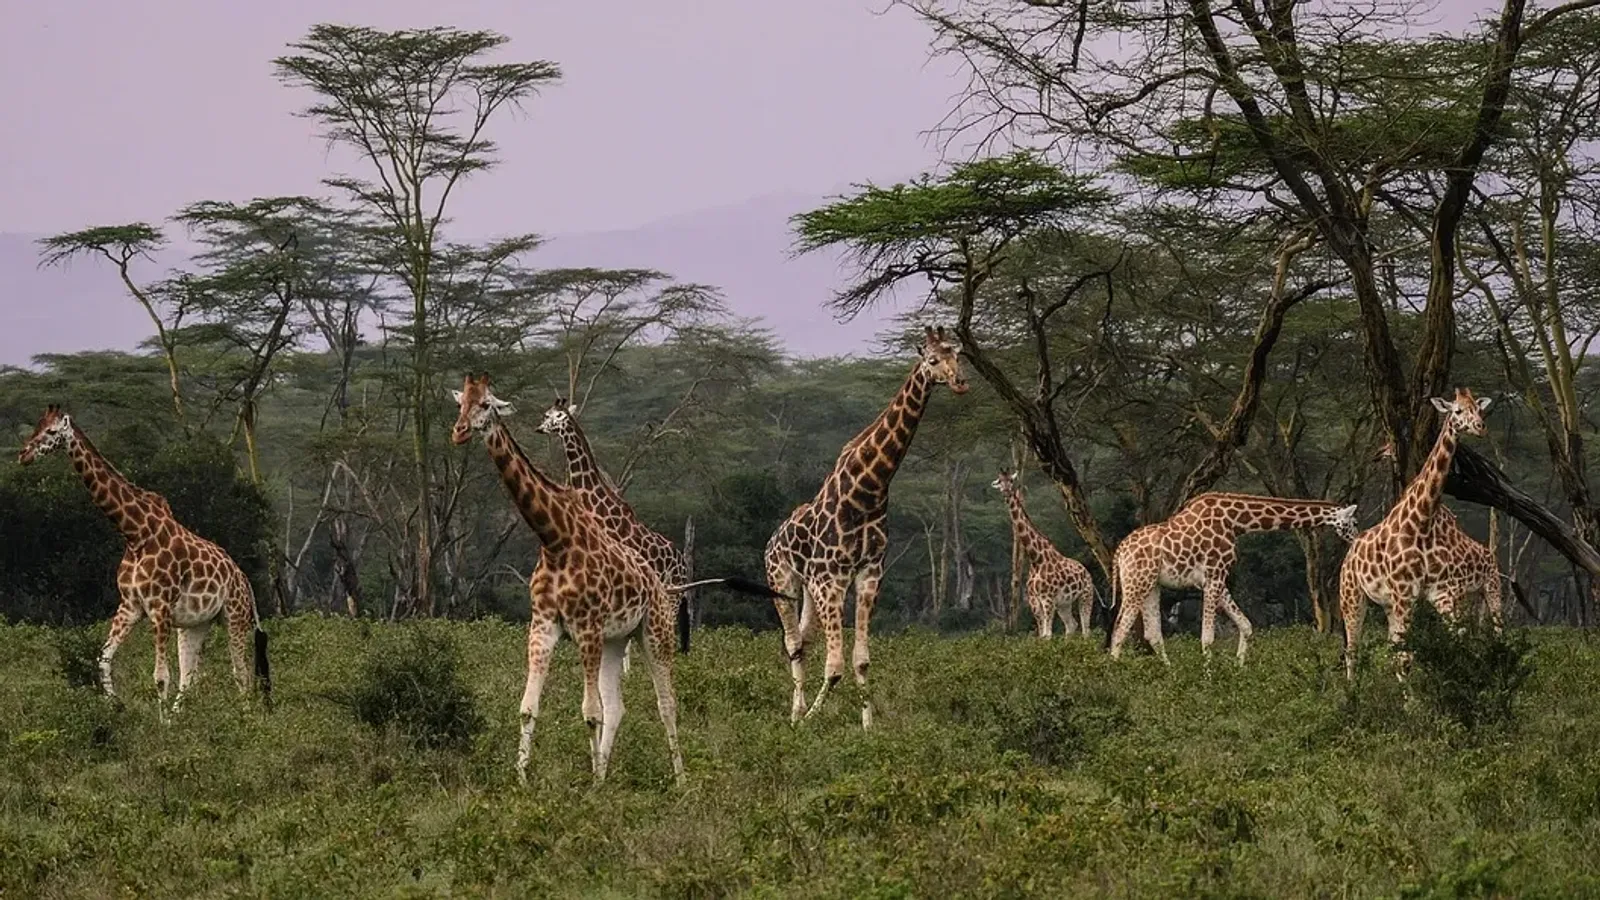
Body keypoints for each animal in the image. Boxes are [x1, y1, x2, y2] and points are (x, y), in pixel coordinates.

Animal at [17, 405, 272, 712]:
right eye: (36, 426)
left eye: (52, 431)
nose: (23, 454)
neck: (135, 534)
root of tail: (244, 580)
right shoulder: (130, 606)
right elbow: (103, 661)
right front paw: (116, 706)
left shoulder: (159, 608)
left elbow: (161, 676)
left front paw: (157, 721)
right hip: (195, 624)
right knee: (191, 677)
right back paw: (181, 718)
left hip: (234, 617)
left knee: (241, 674)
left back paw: (245, 718)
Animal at [765, 325, 968, 728]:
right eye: (932, 359)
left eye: (957, 353)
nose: (960, 382)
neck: (869, 489)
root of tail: (772, 539)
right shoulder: (831, 579)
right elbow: (835, 667)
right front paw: (810, 721)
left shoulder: (868, 574)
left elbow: (860, 661)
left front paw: (868, 728)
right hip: (783, 581)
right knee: (793, 644)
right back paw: (795, 716)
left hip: (809, 588)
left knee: (804, 642)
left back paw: (798, 710)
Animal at [991, 468, 1096, 638]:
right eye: (1000, 481)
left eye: (1011, 481)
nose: (1006, 491)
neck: (1036, 558)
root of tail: (1085, 570)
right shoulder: (1035, 601)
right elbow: (1042, 635)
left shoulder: (1047, 598)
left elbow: (1048, 635)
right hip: (1064, 603)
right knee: (1072, 625)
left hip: (1086, 595)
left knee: (1086, 628)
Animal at [1108, 492, 1360, 665]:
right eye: (1354, 522)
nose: (1357, 538)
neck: (1236, 522)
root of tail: (1119, 553)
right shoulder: (1214, 574)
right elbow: (1208, 637)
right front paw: (1209, 678)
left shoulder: (1216, 578)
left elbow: (1246, 625)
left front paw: (1239, 668)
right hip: (1136, 583)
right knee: (1119, 628)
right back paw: (1114, 676)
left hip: (1151, 585)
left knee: (1151, 634)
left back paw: (1168, 673)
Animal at [1338, 388, 1492, 679]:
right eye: (1457, 411)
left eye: (1479, 409)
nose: (1480, 427)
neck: (1421, 523)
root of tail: (1350, 551)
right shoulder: (1403, 593)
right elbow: (1406, 656)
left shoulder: (1436, 593)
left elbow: (1455, 639)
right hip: (1351, 597)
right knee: (1352, 650)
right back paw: (1351, 689)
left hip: (1387, 604)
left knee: (1389, 646)